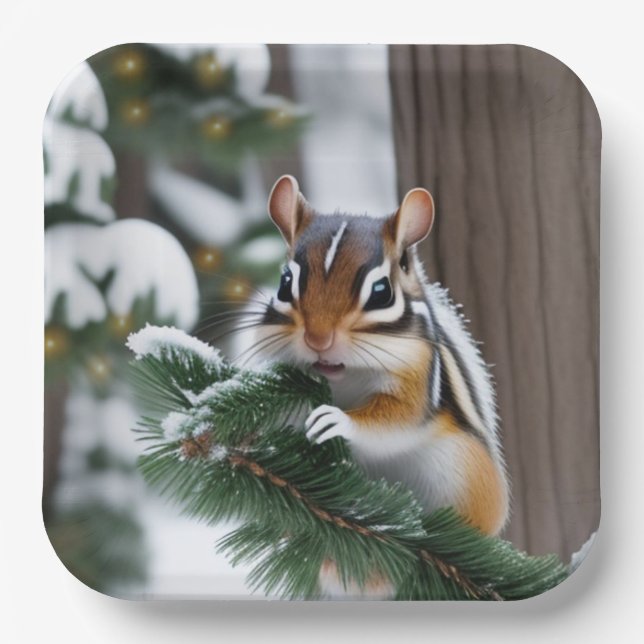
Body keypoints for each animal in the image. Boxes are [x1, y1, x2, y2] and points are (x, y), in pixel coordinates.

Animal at [255, 175, 509, 597]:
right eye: (285, 283)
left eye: (381, 292)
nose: (318, 338)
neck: (343, 377)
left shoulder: (417, 377)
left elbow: (396, 420)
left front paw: (336, 421)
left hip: (466, 473)